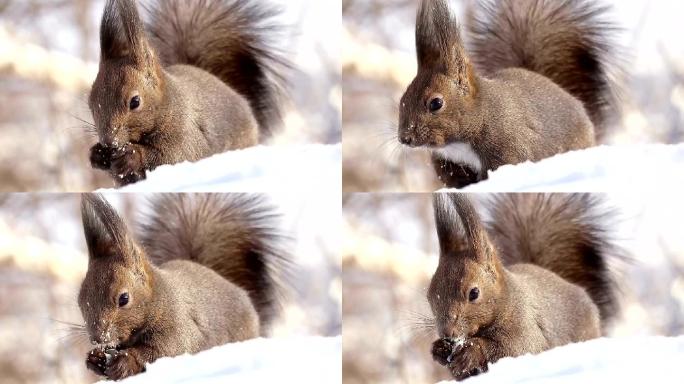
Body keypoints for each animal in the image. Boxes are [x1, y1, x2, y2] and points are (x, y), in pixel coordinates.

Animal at [78, 194, 288, 380]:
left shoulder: (181, 330)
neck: (160, 301)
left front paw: (124, 362)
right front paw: (95, 359)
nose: (98, 338)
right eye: (80, 302)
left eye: (124, 298)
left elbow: (163, 352)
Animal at [87, 0, 286, 186]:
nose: (109, 142)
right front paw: (97, 155)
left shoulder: (188, 135)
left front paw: (131, 155)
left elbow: (175, 156)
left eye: (135, 101)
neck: (169, 106)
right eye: (90, 104)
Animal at [430, 195, 616, 380]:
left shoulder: (527, 327)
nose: (448, 333)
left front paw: (471, 350)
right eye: (430, 297)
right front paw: (439, 349)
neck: (507, 301)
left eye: (474, 293)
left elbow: (519, 349)